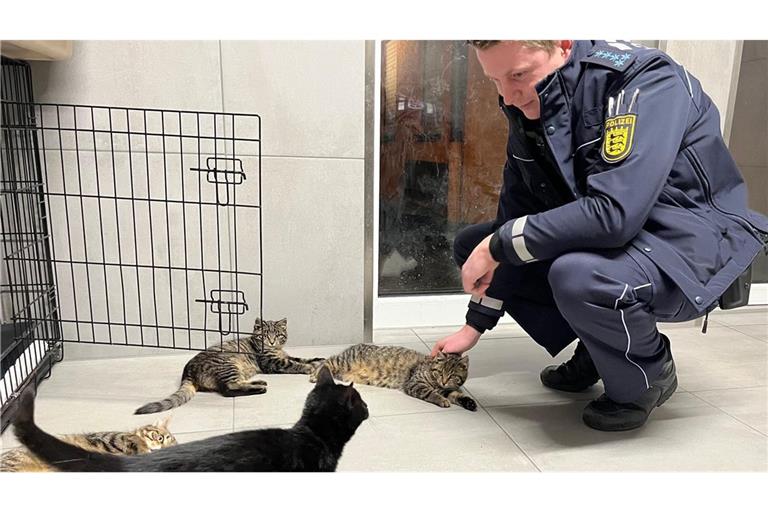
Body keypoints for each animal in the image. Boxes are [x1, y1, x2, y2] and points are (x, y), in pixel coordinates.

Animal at [136, 318, 322, 414]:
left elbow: (303, 358)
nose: (271, 341)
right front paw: (309, 368)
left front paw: (318, 361)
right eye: (265, 335)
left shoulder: (284, 355)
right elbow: (294, 364)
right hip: (228, 365)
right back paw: (259, 388)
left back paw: (258, 383)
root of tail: (187, 371)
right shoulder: (272, 362)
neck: (275, 349)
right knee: (228, 389)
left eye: (277, 335)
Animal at [308, 344, 476, 412]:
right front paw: (441, 400)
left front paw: (469, 402)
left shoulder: (447, 389)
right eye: (440, 373)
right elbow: (431, 393)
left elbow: (456, 394)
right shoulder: (415, 383)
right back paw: (315, 374)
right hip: (343, 361)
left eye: (452, 375)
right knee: (326, 362)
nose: (444, 381)